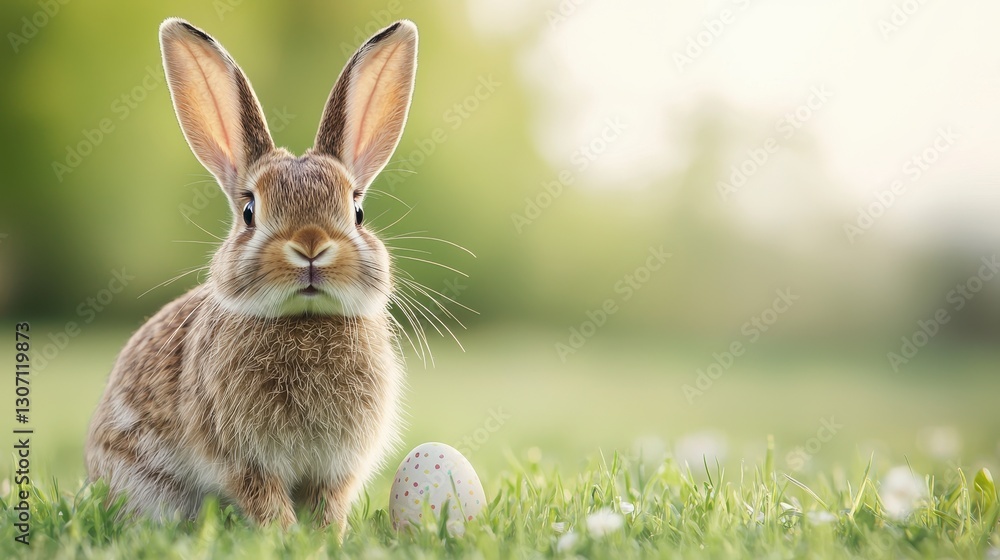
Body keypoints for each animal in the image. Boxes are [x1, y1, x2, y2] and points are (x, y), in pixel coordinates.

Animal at [85, 16, 418, 533]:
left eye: (357, 211)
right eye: (249, 212)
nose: (310, 245)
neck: (304, 321)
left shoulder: (336, 466)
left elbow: (329, 501)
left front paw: (326, 537)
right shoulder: (240, 457)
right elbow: (262, 498)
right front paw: (283, 537)